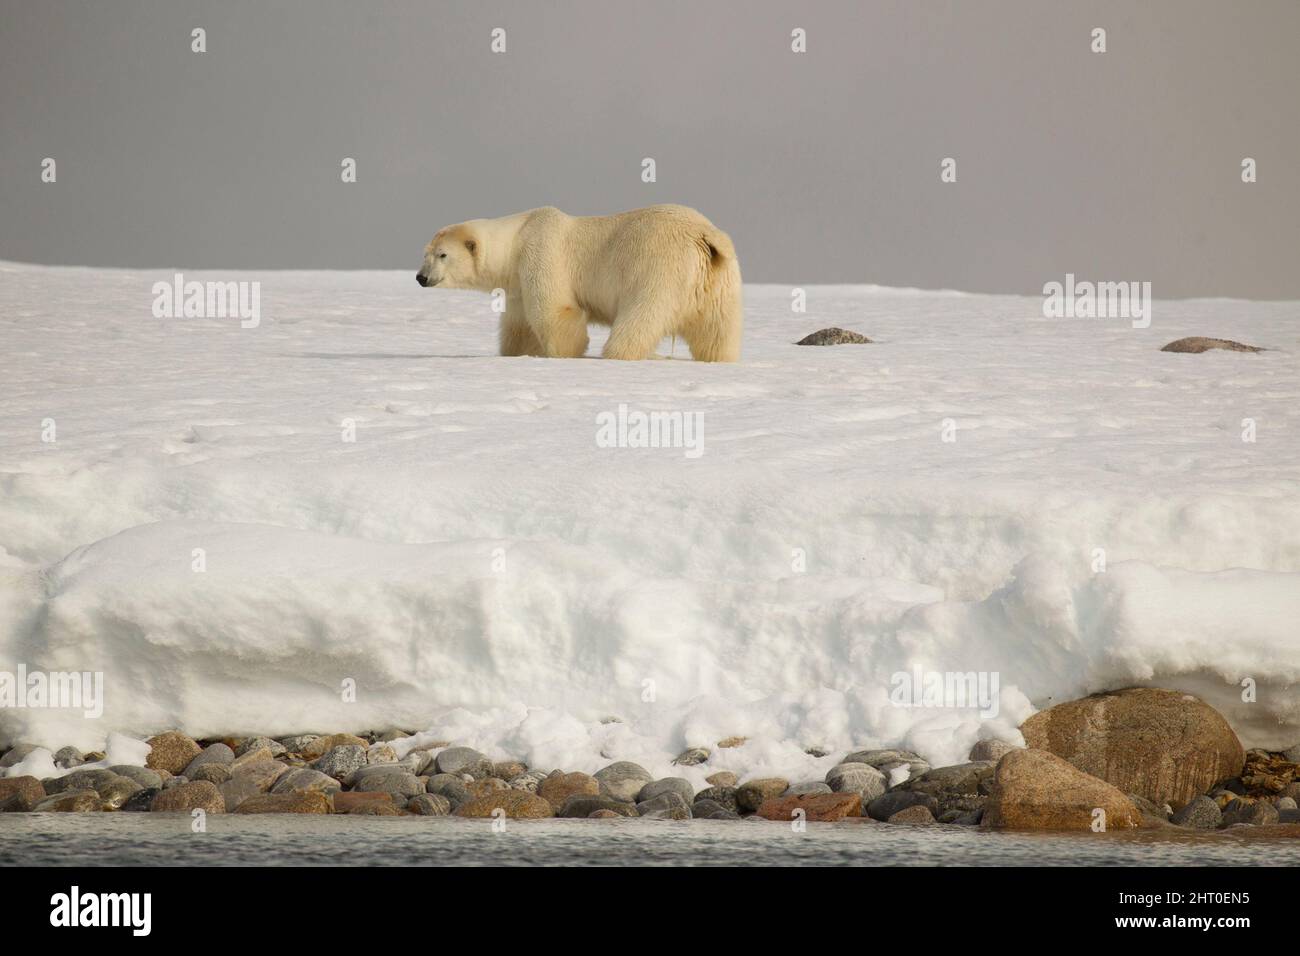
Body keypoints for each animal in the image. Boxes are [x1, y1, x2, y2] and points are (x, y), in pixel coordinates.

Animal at [415, 204, 743, 362]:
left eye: (442, 255)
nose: (421, 277)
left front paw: (564, 353)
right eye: (425, 253)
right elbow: (519, 327)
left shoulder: (541, 253)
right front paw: (517, 354)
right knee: (717, 331)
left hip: (659, 268)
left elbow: (556, 311)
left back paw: (619, 354)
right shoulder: (517, 283)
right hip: (719, 281)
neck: (517, 238)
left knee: (640, 318)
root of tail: (706, 235)